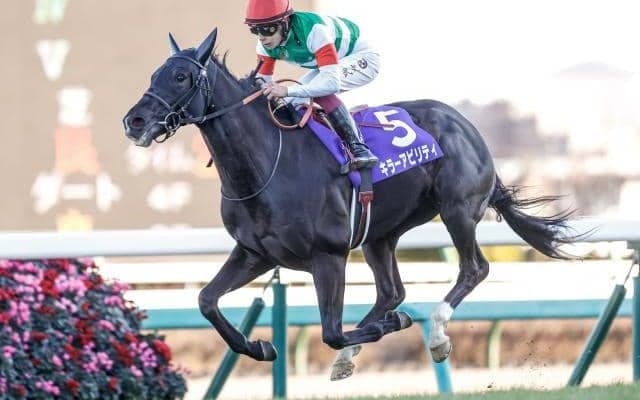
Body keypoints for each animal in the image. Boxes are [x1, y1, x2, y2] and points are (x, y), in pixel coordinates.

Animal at [123, 29, 578, 377]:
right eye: (155, 74)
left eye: (181, 76)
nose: (134, 121)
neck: (268, 165)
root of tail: (466, 125)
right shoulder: (256, 253)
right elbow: (206, 301)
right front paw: (260, 347)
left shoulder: (328, 255)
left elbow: (331, 331)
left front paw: (387, 328)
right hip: (380, 234)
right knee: (391, 290)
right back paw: (359, 348)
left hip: (458, 210)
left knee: (474, 268)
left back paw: (434, 334)